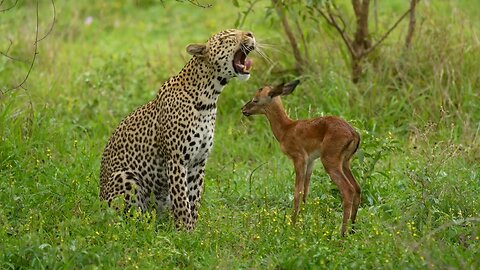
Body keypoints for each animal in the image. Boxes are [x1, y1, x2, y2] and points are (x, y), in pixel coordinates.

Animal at [101, 29, 256, 230]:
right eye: (227, 37)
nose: (250, 34)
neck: (209, 98)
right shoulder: (176, 160)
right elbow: (182, 200)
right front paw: (185, 231)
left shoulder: (198, 163)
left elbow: (194, 200)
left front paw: (193, 230)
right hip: (125, 178)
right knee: (130, 219)